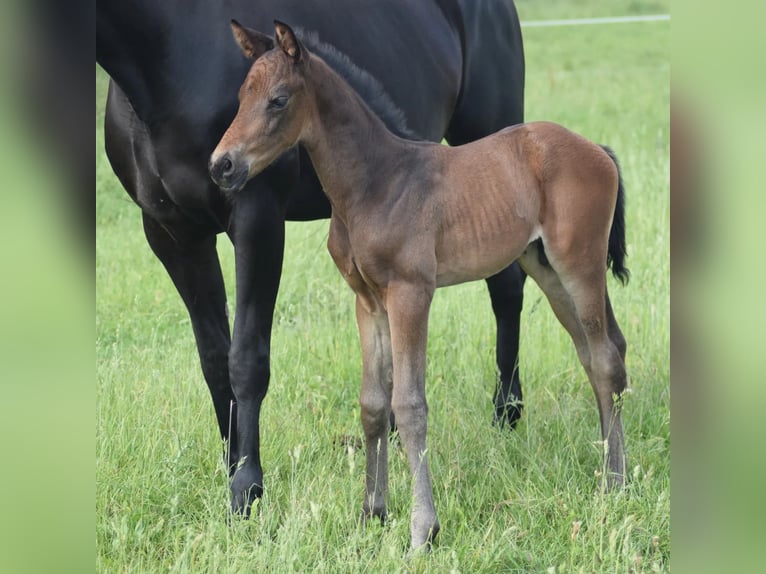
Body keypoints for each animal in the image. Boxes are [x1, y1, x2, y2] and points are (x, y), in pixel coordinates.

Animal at [97, 0, 526, 519]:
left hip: (487, 136)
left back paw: (506, 411)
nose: (222, 165)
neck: (166, 60)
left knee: (507, 285)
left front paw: (247, 489)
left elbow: (247, 357)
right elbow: (214, 360)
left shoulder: (257, 219)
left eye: (277, 101)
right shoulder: (171, 234)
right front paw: (231, 467)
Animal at [210, 21, 630, 550]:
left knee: (606, 358)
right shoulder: (367, 301)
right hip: (547, 269)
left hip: (579, 263)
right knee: (598, 353)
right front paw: (371, 514)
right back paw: (610, 465)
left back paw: (615, 482)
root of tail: (598, 150)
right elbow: (373, 404)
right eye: (242, 96)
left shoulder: (411, 292)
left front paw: (422, 530)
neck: (375, 183)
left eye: (278, 100)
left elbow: (408, 405)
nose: (221, 165)